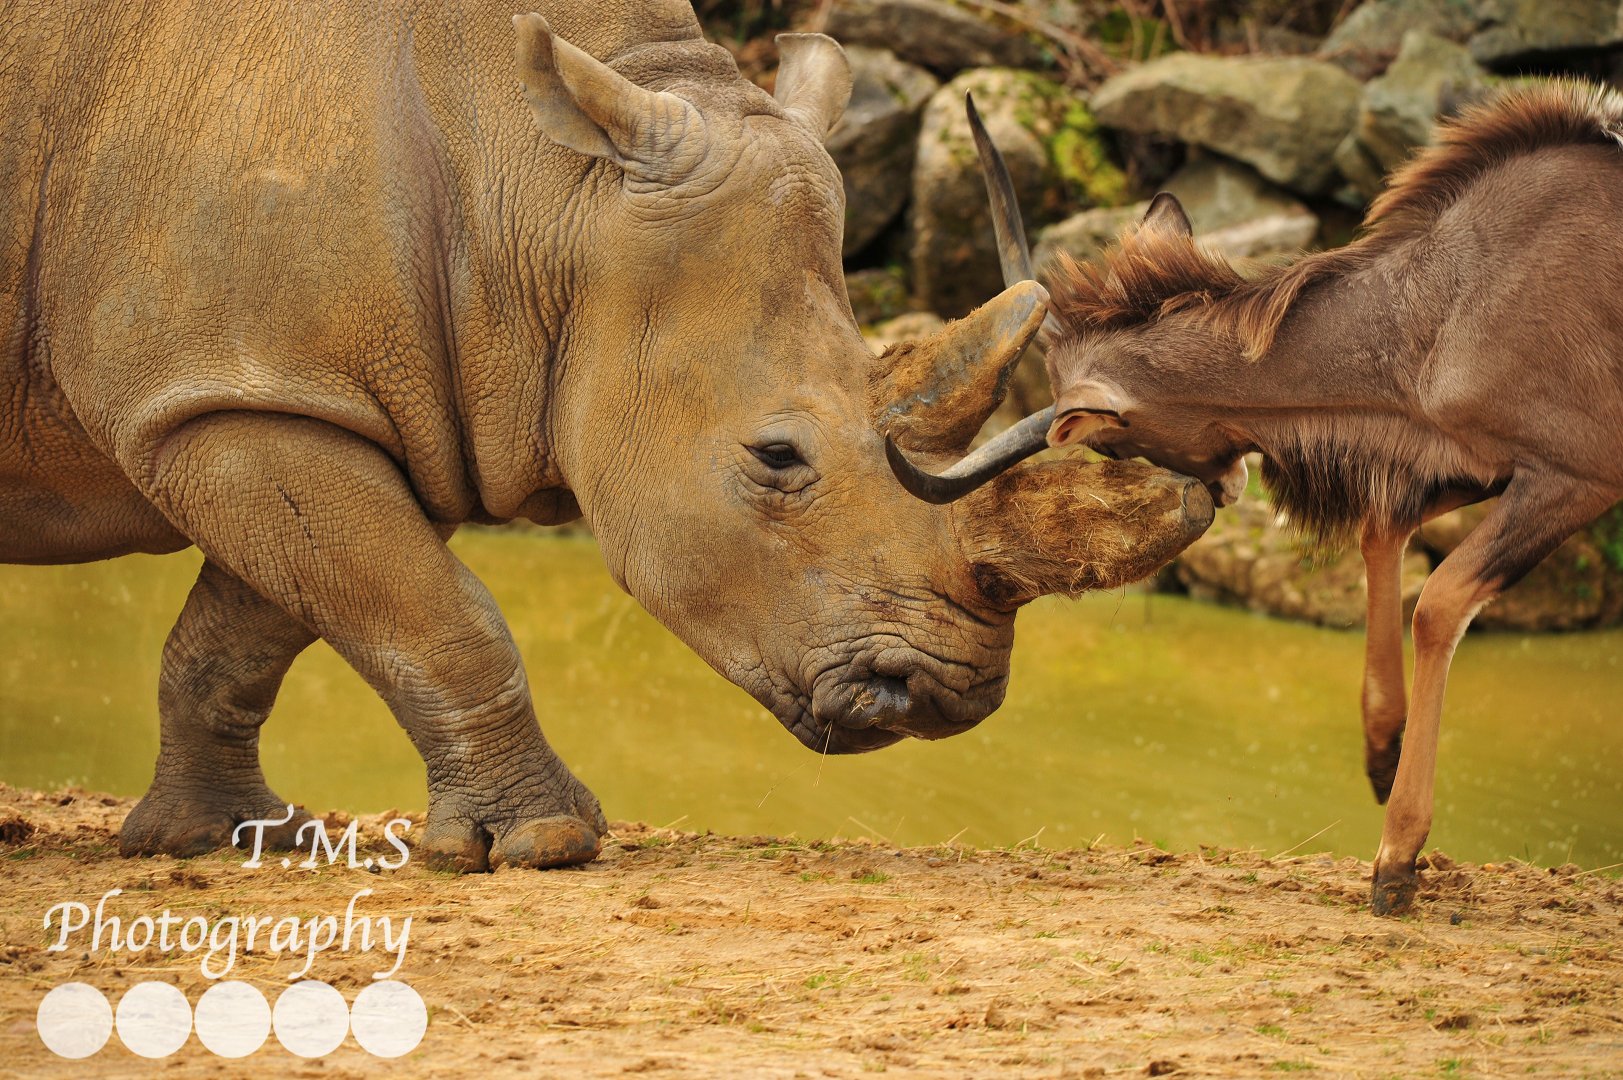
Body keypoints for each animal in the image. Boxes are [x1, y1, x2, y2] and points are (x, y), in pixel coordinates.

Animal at [0, 0, 1212, 871]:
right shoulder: (229, 394)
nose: (946, 698)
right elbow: (439, 617)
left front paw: (221, 840)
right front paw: (544, 846)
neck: (547, 194)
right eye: (777, 458)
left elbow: (256, 630)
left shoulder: (339, 401)